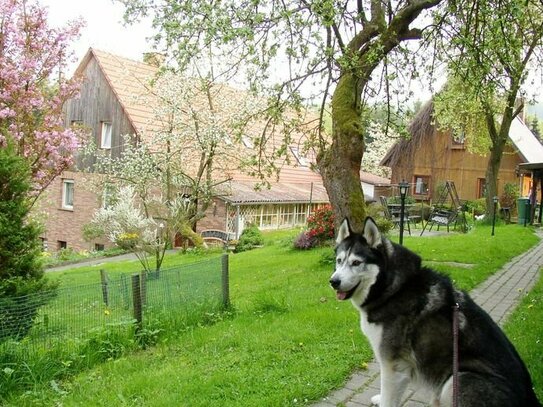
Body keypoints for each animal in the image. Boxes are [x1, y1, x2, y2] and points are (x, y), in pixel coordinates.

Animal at [330, 218, 540, 406]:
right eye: (339, 261)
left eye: (356, 263)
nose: (333, 281)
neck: (393, 288)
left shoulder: (393, 365)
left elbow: (389, 398)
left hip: (457, 379)